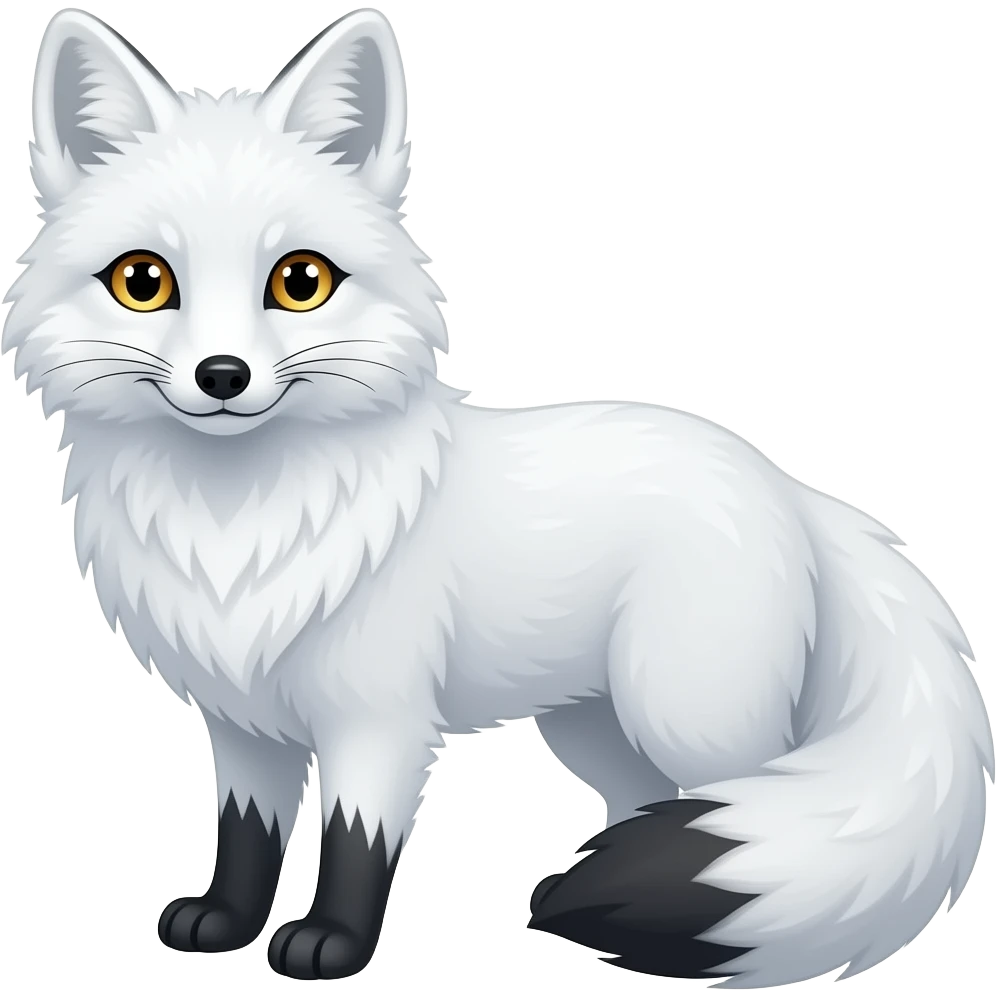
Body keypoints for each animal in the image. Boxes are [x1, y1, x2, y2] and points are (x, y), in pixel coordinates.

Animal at [3, 5, 992, 987]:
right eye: (143, 281)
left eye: (299, 281)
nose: (222, 375)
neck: (235, 530)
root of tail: (790, 487)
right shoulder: (244, 723)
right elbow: (246, 833)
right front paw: (225, 920)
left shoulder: (379, 716)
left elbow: (356, 841)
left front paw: (332, 944)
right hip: (594, 726)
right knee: (651, 802)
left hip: (689, 715)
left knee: (747, 799)